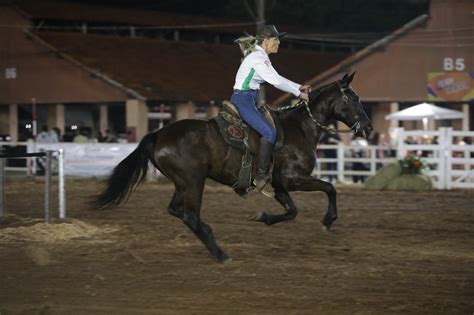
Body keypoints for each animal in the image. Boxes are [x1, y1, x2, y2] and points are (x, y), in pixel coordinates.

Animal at [94, 73, 372, 262]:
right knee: (190, 215)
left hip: (182, 184)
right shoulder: (293, 178)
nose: (368, 128)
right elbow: (329, 188)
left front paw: (263, 217)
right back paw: (220, 254)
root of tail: (159, 134)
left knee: (177, 211)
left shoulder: (279, 185)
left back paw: (210, 236)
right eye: (354, 98)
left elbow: (292, 210)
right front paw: (327, 220)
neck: (300, 128)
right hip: (194, 182)